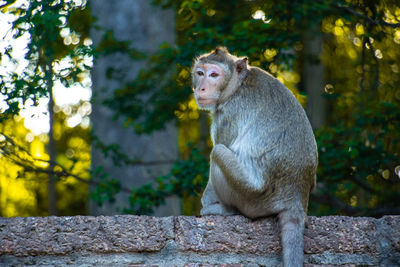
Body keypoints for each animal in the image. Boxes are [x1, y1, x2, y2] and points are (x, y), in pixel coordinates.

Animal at [192, 47, 318, 267]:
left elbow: (221, 146)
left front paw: (207, 202)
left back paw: (227, 210)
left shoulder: (227, 115)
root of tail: (295, 196)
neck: (237, 86)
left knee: (218, 153)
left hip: (249, 196)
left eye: (214, 75)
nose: (201, 89)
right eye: (200, 73)